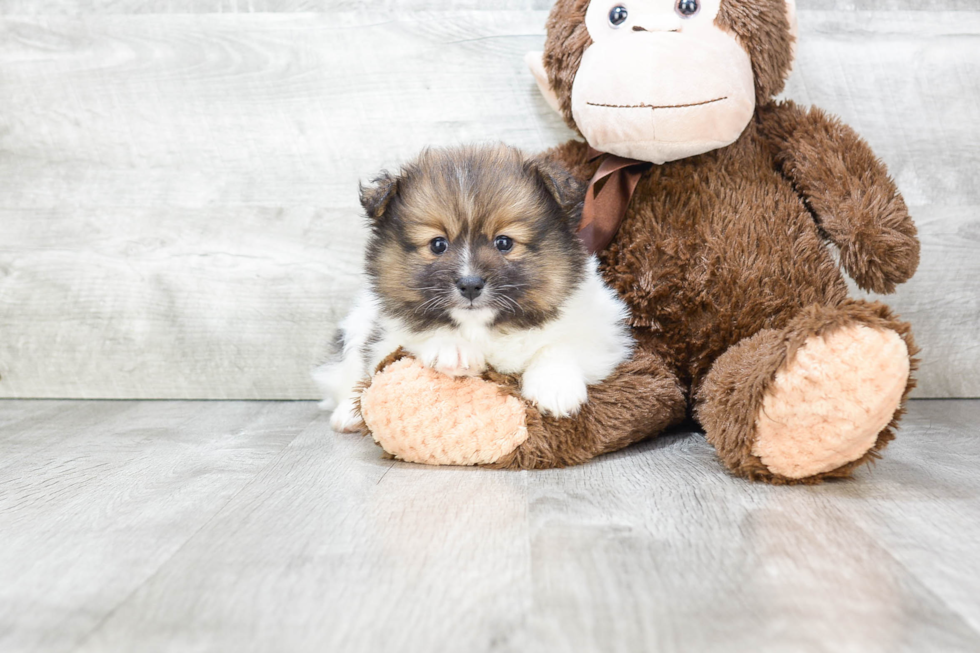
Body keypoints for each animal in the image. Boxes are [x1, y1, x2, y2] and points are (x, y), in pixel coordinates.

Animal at [318, 145, 632, 430]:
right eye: (438, 244)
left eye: (504, 242)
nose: (470, 285)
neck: (486, 330)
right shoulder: (383, 337)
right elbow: (417, 336)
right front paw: (453, 350)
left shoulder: (604, 333)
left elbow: (559, 345)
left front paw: (554, 387)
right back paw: (348, 415)